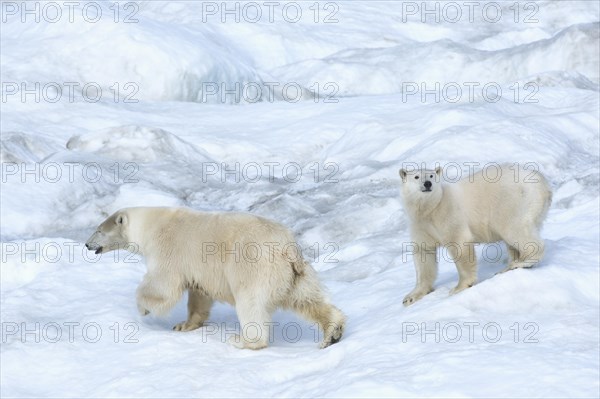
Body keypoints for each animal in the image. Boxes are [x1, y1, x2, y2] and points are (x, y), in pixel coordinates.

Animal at [86, 208, 344, 352]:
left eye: (98, 230)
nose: (87, 244)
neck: (152, 224)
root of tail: (287, 247)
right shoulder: (198, 269)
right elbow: (199, 295)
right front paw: (183, 325)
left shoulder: (169, 249)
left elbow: (163, 285)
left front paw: (144, 308)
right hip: (294, 273)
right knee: (306, 299)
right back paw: (332, 332)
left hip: (253, 267)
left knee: (250, 304)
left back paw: (243, 341)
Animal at [398, 162, 552, 306]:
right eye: (416, 177)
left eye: (431, 176)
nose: (427, 184)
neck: (431, 208)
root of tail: (543, 184)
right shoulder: (420, 225)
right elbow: (423, 255)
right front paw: (410, 297)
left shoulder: (449, 214)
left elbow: (459, 244)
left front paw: (459, 287)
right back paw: (509, 266)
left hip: (513, 202)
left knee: (515, 230)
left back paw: (522, 262)